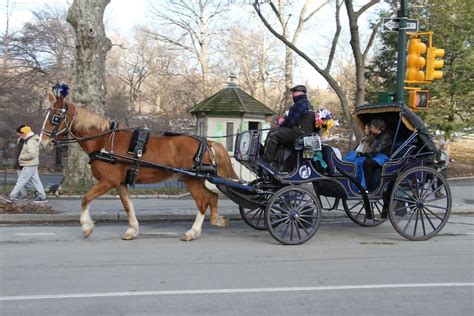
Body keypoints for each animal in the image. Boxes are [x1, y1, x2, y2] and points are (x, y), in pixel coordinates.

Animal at [41, 92, 237, 241]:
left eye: (55, 118)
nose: (43, 143)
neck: (104, 141)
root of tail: (207, 141)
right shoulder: (120, 183)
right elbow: (128, 205)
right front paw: (132, 230)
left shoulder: (107, 181)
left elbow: (85, 198)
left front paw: (86, 227)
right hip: (194, 180)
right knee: (212, 197)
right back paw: (216, 220)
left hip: (191, 179)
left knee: (203, 201)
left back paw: (192, 232)